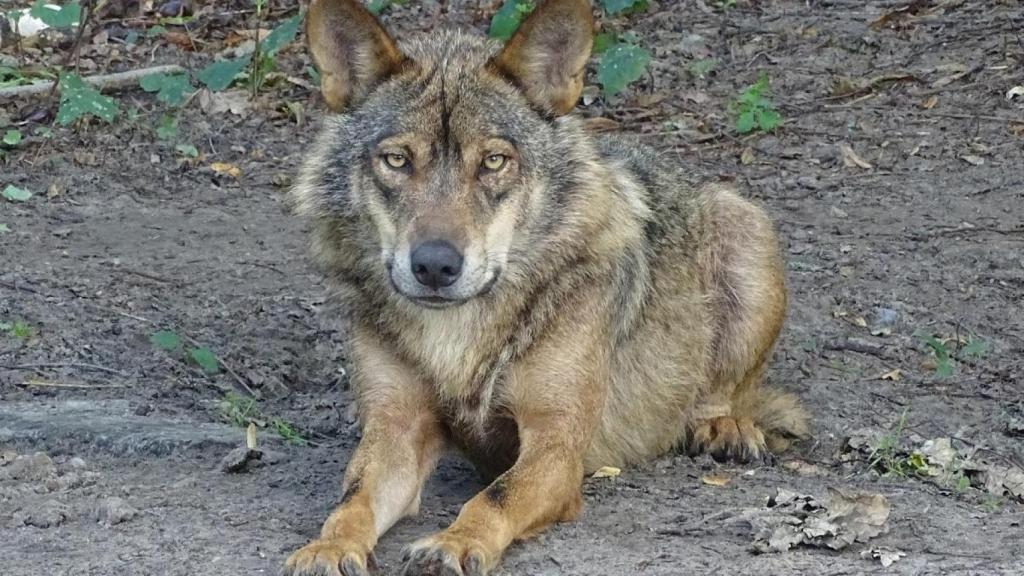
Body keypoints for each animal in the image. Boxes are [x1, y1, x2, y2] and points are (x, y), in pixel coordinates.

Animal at [284, 0, 809, 574]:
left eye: (494, 161)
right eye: (397, 160)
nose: (435, 265)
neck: (458, 335)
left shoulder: (556, 445)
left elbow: (495, 497)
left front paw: (455, 542)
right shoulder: (394, 432)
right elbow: (351, 500)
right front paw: (328, 547)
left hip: (746, 229)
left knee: (725, 391)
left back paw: (723, 427)